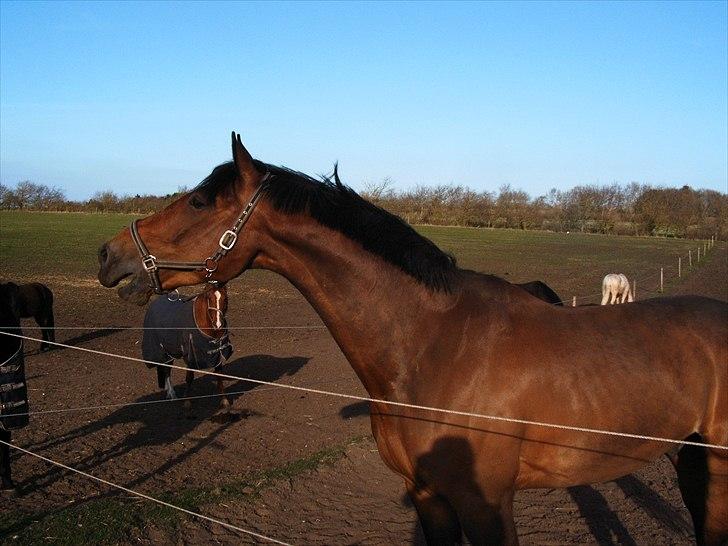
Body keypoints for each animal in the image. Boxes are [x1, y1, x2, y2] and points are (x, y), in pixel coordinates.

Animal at [142, 282, 233, 414]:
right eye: (209, 298)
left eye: (225, 299)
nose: (218, 325)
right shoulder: (190, 355)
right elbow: (189, 377)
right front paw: (187, 402)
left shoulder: (217, 353)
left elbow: (219, 375)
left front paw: (224, 401)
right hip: (163, 350)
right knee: (166, 369)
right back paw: (172, 394)